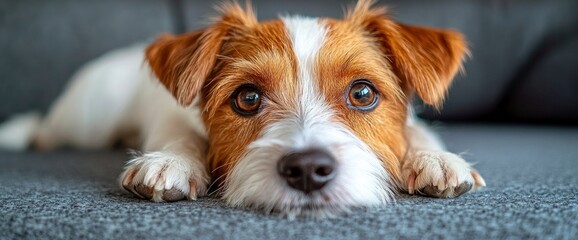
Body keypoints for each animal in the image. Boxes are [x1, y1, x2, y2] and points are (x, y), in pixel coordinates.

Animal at [1, 0, 486, 218]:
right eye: (248, 97)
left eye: (363, 94)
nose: (307, 170)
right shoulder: (172, 113)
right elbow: (181, 132)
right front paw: (173, 162)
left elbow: (417, 130)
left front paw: (434, 158)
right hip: (85, 121)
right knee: (46, 130)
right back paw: (18, 132)